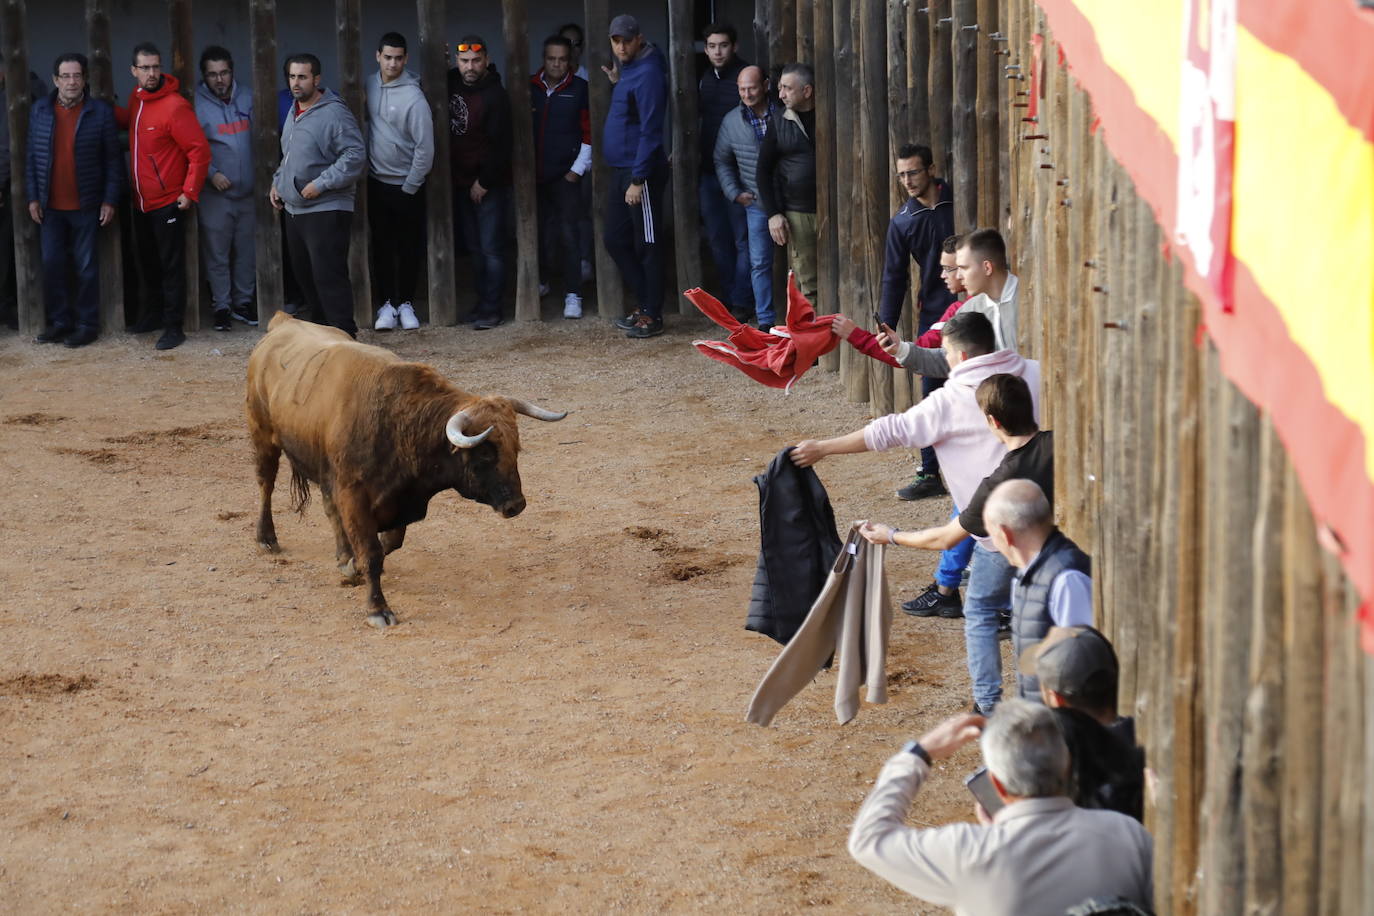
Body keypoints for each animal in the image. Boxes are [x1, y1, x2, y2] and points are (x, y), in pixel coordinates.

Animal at [244, 311, 566, 626]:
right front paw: (377, 609)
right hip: (263, 436)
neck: (399, 424)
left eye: (516, 447)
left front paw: (352, 565)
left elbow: (389, 542)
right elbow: (371, 552)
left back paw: (342, 556)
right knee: (265, 483)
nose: (516, 505)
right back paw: (267, 538)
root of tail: (283, 321)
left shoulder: (398, 498)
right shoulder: (353, 496)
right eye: (485, 454)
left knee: (329, 509)